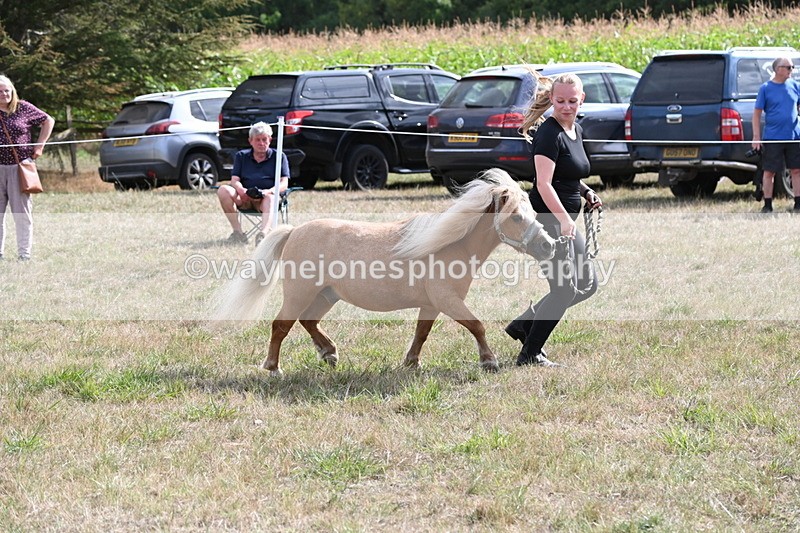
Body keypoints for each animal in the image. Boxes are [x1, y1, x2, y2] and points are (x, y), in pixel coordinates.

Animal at [213, 168, 556, 375]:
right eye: (516, 217)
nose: (548, 246)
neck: (449, 245)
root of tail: (294, 231)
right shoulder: (447, 300)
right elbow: (477, 325)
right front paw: (489, 361)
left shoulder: (431, 304)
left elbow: (421, 333)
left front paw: (412, 363)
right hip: (300, 292)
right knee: (281, 325)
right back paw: (273, 368)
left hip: (326, 295)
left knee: (308, 321)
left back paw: (330, 354)